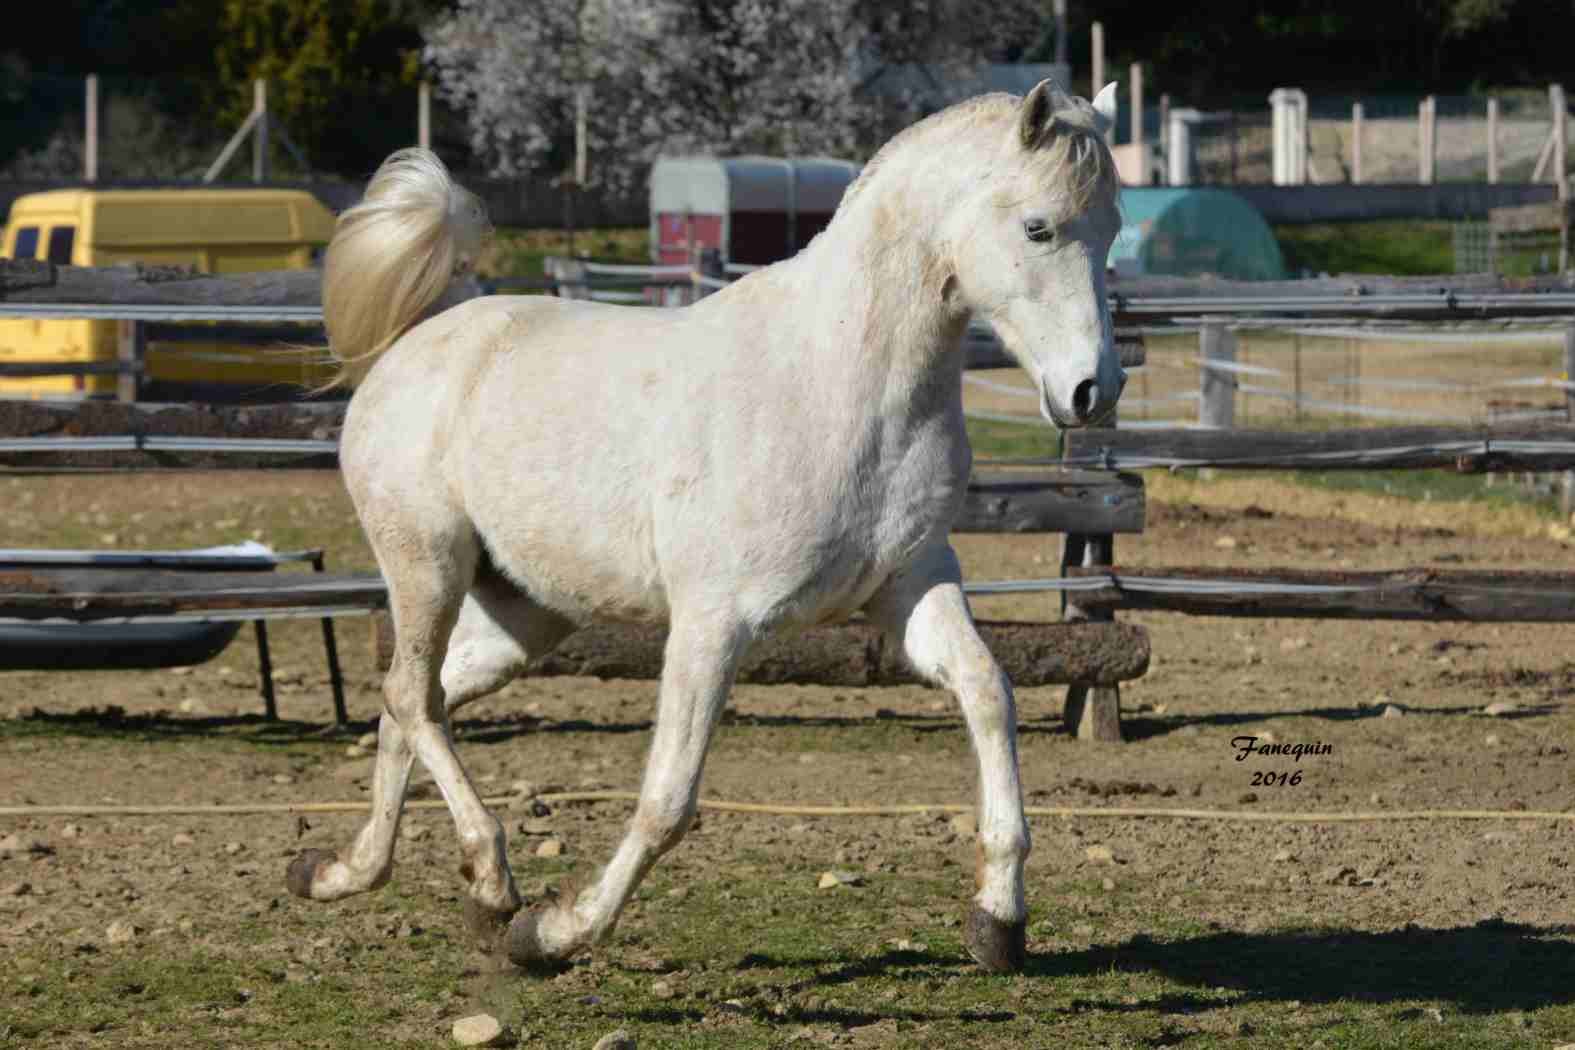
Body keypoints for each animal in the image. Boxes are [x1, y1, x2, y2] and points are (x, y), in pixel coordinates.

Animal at [289, 77, 1127, 976]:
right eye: (1037, 226)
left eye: (1112, 228)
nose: (1091, 391)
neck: (841, 384)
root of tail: (416, 341)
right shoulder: (711, 623)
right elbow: (668, 798)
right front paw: (556, 932)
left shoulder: (912, 587)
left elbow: (986, 692)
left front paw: (998, 919)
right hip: (427, 568)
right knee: (412, 696)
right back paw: (490, 883)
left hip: (520, 616)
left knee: (414, 703)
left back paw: (357, 874)